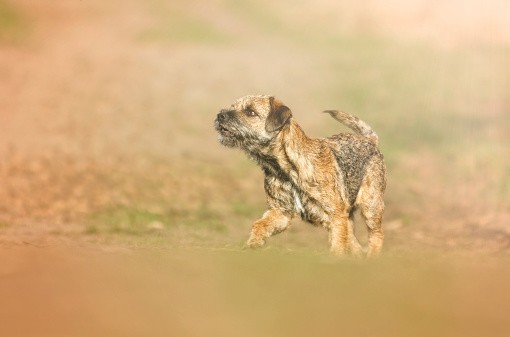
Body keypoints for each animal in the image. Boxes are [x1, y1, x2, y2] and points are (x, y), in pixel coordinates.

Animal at [213, 95, 384, 258]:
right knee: (354, 242)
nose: (220, 115)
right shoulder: (281, 212)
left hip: (371, 207)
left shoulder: (336, 216)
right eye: (233, 106)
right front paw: (253, 244)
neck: (286, 169)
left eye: (250, 112)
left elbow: (338, 246)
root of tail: (370, 140)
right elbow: (260, 225)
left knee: (376, 236)